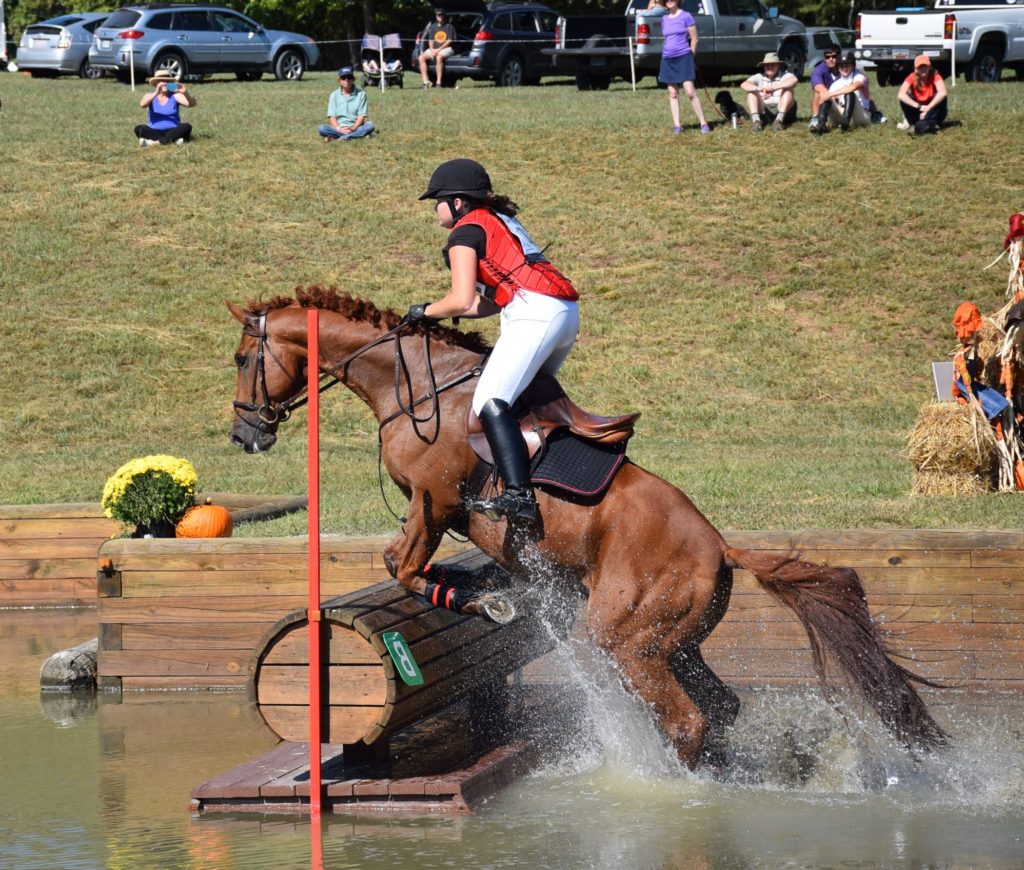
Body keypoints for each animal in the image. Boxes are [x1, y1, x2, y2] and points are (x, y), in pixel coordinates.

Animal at [228, 286, 947, 768]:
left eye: (240, 358)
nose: (244, 435)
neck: (413, 386)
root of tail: (719, 545)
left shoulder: (432, 501)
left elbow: (399, 566)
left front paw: (488, 602)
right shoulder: (434, 510)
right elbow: (403, 564)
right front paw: (487, 588)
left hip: (626, 639)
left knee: (686, 721)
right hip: (674, 640)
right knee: (718, 708)